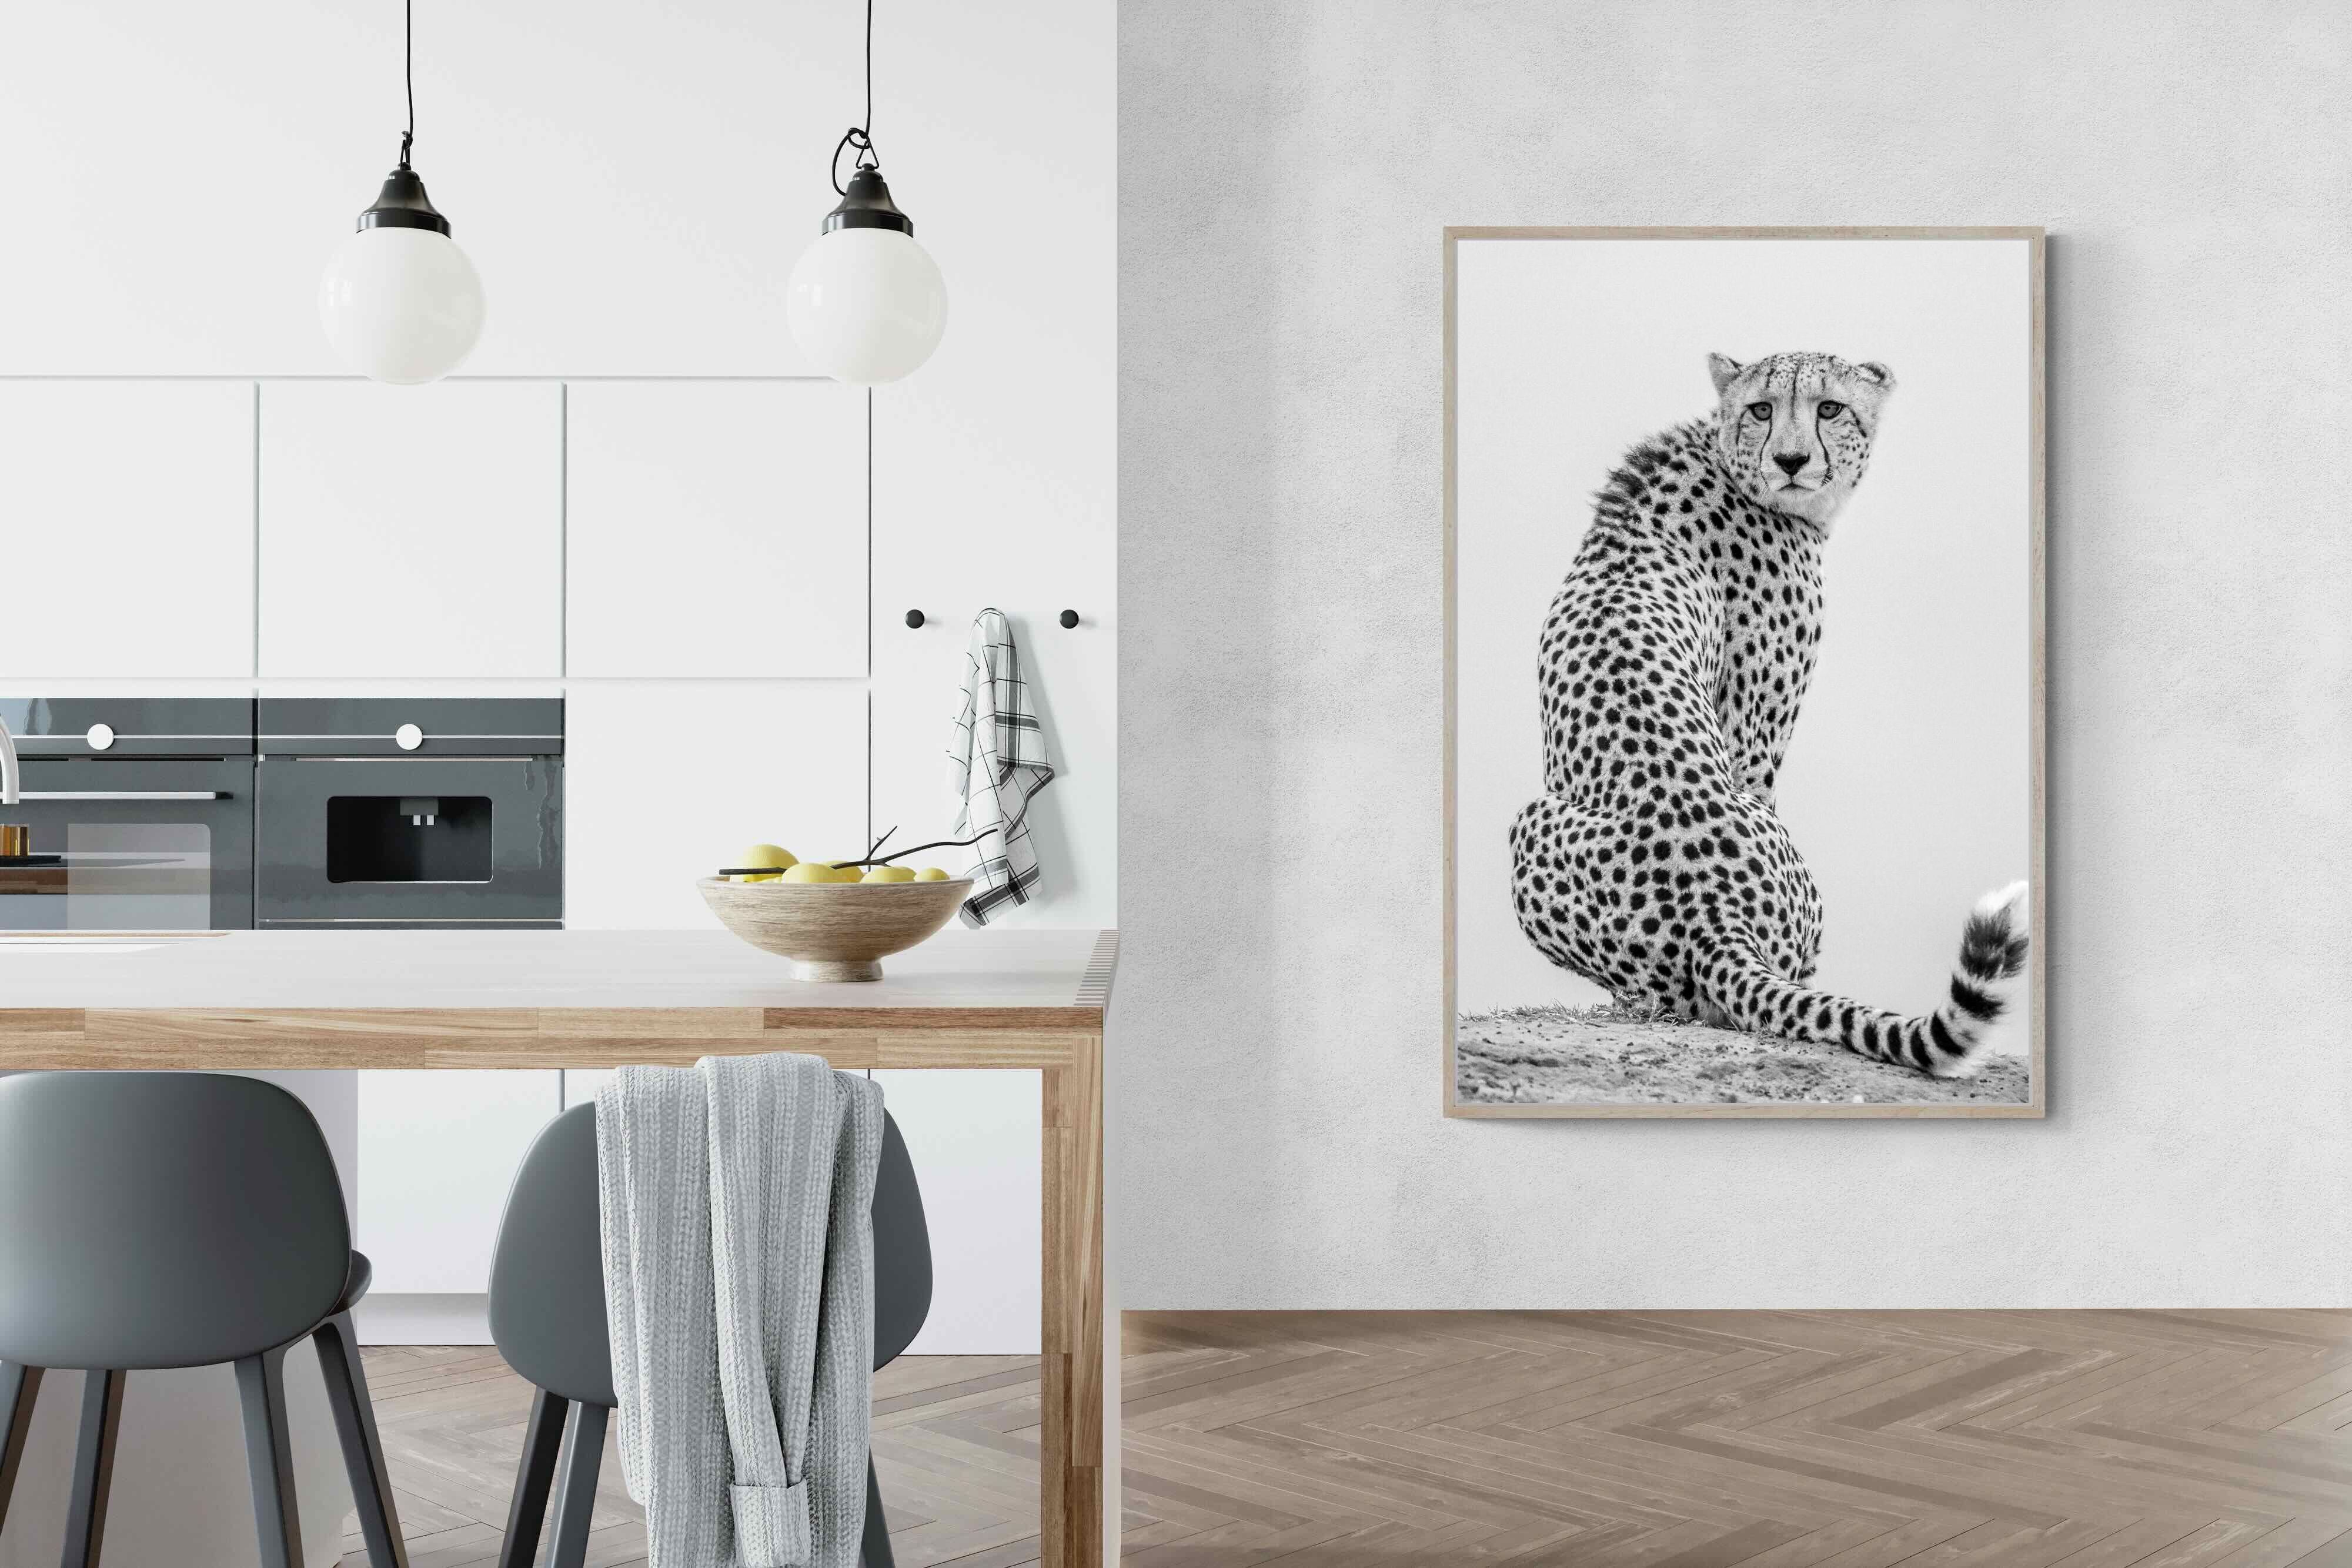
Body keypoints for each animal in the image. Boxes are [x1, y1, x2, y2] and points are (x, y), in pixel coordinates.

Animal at [1506, 349, 2029, 1078]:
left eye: (1829, 407)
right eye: (1762, 408)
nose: (1790, 459)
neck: (1726, 459)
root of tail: (1714, 916)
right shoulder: (1754, 737)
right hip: (1536, 822)